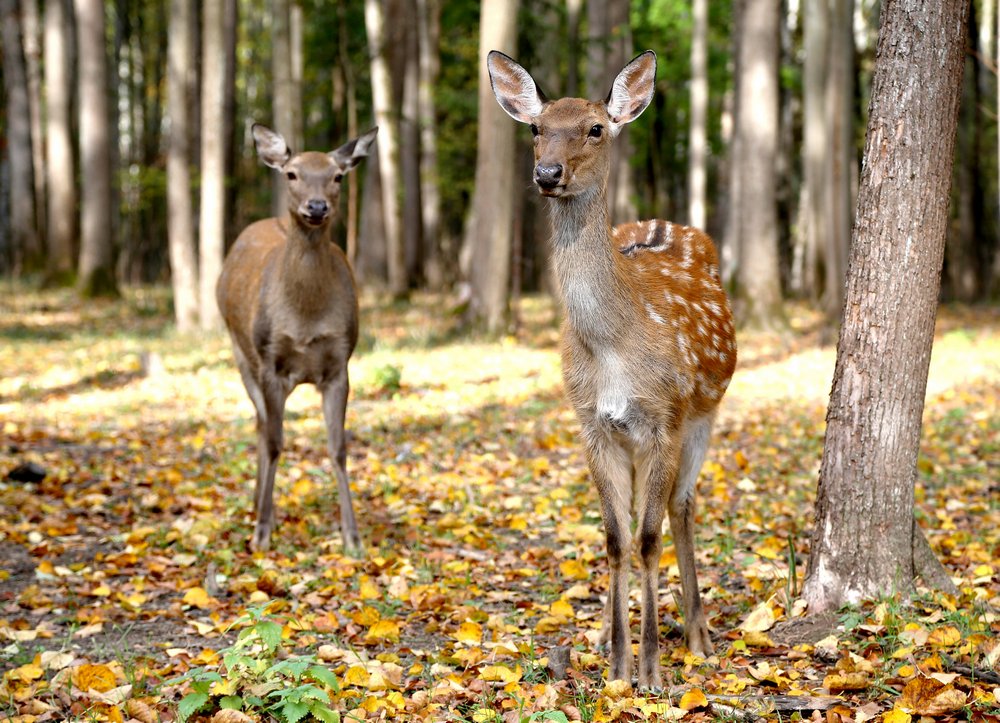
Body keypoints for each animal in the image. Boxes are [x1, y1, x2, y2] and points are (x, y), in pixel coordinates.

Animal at [217, 124, 376, 556]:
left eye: (337, 176)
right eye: (292, 173)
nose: (316, 207)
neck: (305, 318)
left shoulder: (340, 364)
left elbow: (338, 448)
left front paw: (352, 536)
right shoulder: (269, 360)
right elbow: (275, 443)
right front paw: (262, 532)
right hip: (241, 353)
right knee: (260, 424)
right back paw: (258, 507)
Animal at [488, 52, 740, 692]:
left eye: (595, 128)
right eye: (536, 127)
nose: (547, 172)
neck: (613, 350)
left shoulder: (665, 418)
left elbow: (648, 539)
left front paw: (650, 670)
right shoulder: (592, 423)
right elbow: (613, 538)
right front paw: (618, 663)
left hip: (703, 413)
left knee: (682, 507)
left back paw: (699, 637)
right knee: (635, 522)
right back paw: (606, 635)